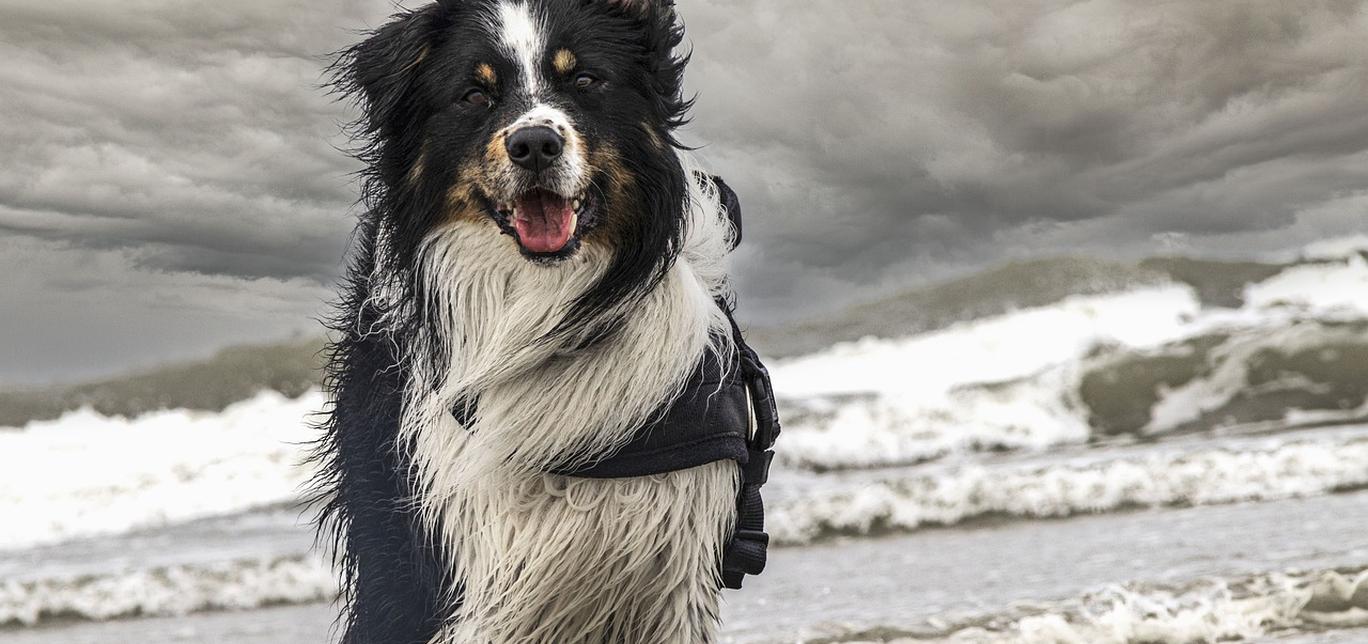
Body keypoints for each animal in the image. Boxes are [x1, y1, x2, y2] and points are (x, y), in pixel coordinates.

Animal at [313, 2, 771, 642]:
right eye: (474, 94)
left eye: (584, 79)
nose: (534, 143)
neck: (544, 310)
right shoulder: (437, 564)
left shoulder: (673, 574)